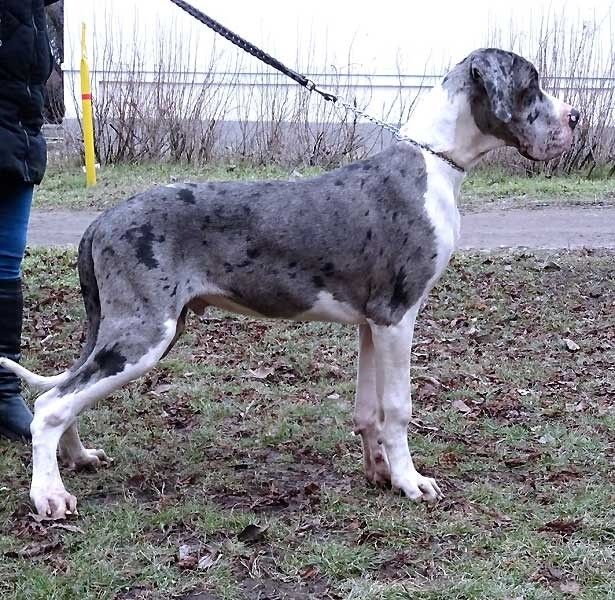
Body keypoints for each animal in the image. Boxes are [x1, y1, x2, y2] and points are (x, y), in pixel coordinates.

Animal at [1, 48, 578, 519]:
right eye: (531, 84)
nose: (575, 117)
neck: (435, 164)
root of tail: (101, 221)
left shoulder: (371, 324)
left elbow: (368, 410)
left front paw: (379, 473)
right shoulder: (397, 317)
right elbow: (398, 409)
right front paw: (411, 482)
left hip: (123, 330)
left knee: (67, 393)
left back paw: (77, 457)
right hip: (144, 334)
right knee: (51, 406)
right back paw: (48, 495)